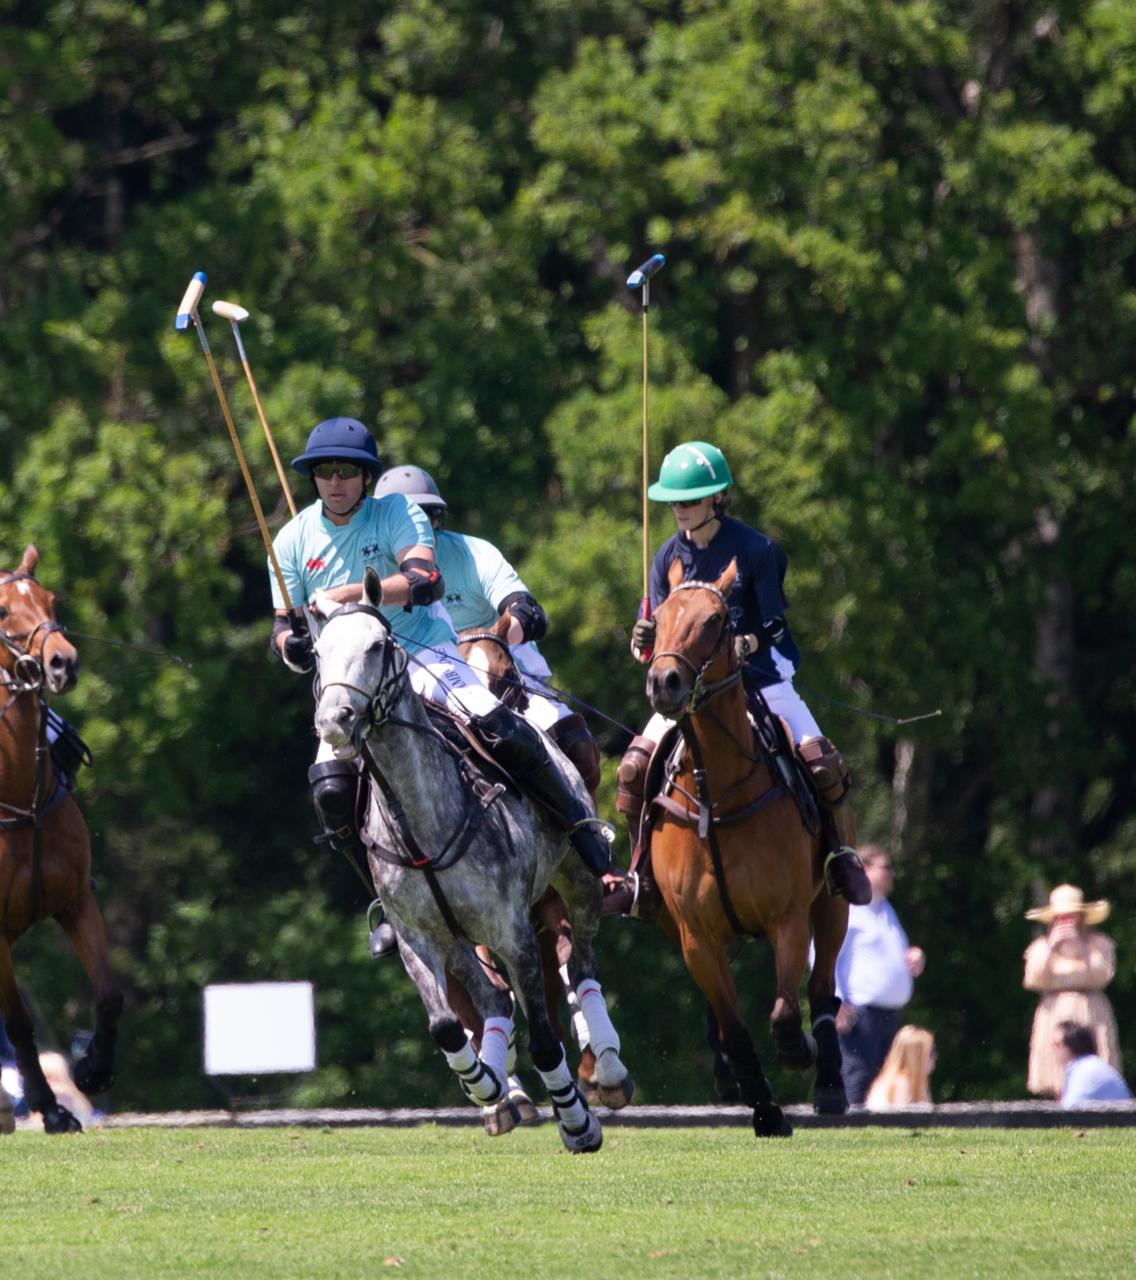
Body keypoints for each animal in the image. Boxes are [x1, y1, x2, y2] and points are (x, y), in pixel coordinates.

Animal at [310, 570, 629, 1152]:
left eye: (378, 645)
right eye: (318, 652)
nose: (335, 720)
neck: (421, 823)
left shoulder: (511, 932)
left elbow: (546, 1040)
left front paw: (578, 1123)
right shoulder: (417, 937)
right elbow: (445, 1025)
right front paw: (483, 1081)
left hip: (577, 880)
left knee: (580, 962)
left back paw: (606, 1071)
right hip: (459, 937)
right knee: (494, 998)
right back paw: (499, 1086)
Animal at [642, 555, 849, 1136]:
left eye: (716, 620)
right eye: (658, 618)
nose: (663, 682)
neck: (718, 795)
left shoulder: (788, 916)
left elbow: (784, 1012)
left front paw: (799, 1052)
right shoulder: (695, 934)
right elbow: (734, 1027)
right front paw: (764, 1107)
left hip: (834, 902)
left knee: (823, 985)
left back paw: (828, 1079)